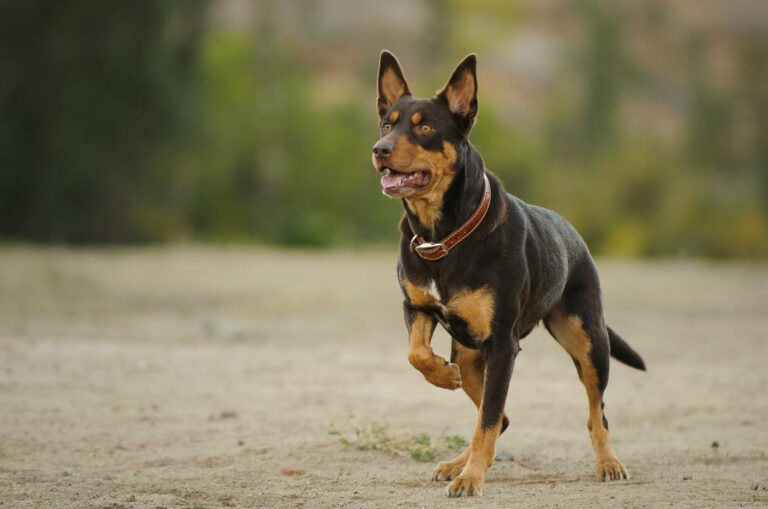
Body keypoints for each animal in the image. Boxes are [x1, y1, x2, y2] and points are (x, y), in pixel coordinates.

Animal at [368, 51, 644, 496]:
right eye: (387, 124)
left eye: (425, 127)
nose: (380, 149)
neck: (444, 234)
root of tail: (573, 235)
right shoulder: (417, 308)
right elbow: (417, 355)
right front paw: (442, 378)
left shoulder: (502, 345)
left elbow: (489, 418)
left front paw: (471, 478)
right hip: (469, 352)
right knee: (500, 415)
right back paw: (458, 459)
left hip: (587, 341)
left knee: (594, 412)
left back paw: (608, 462)